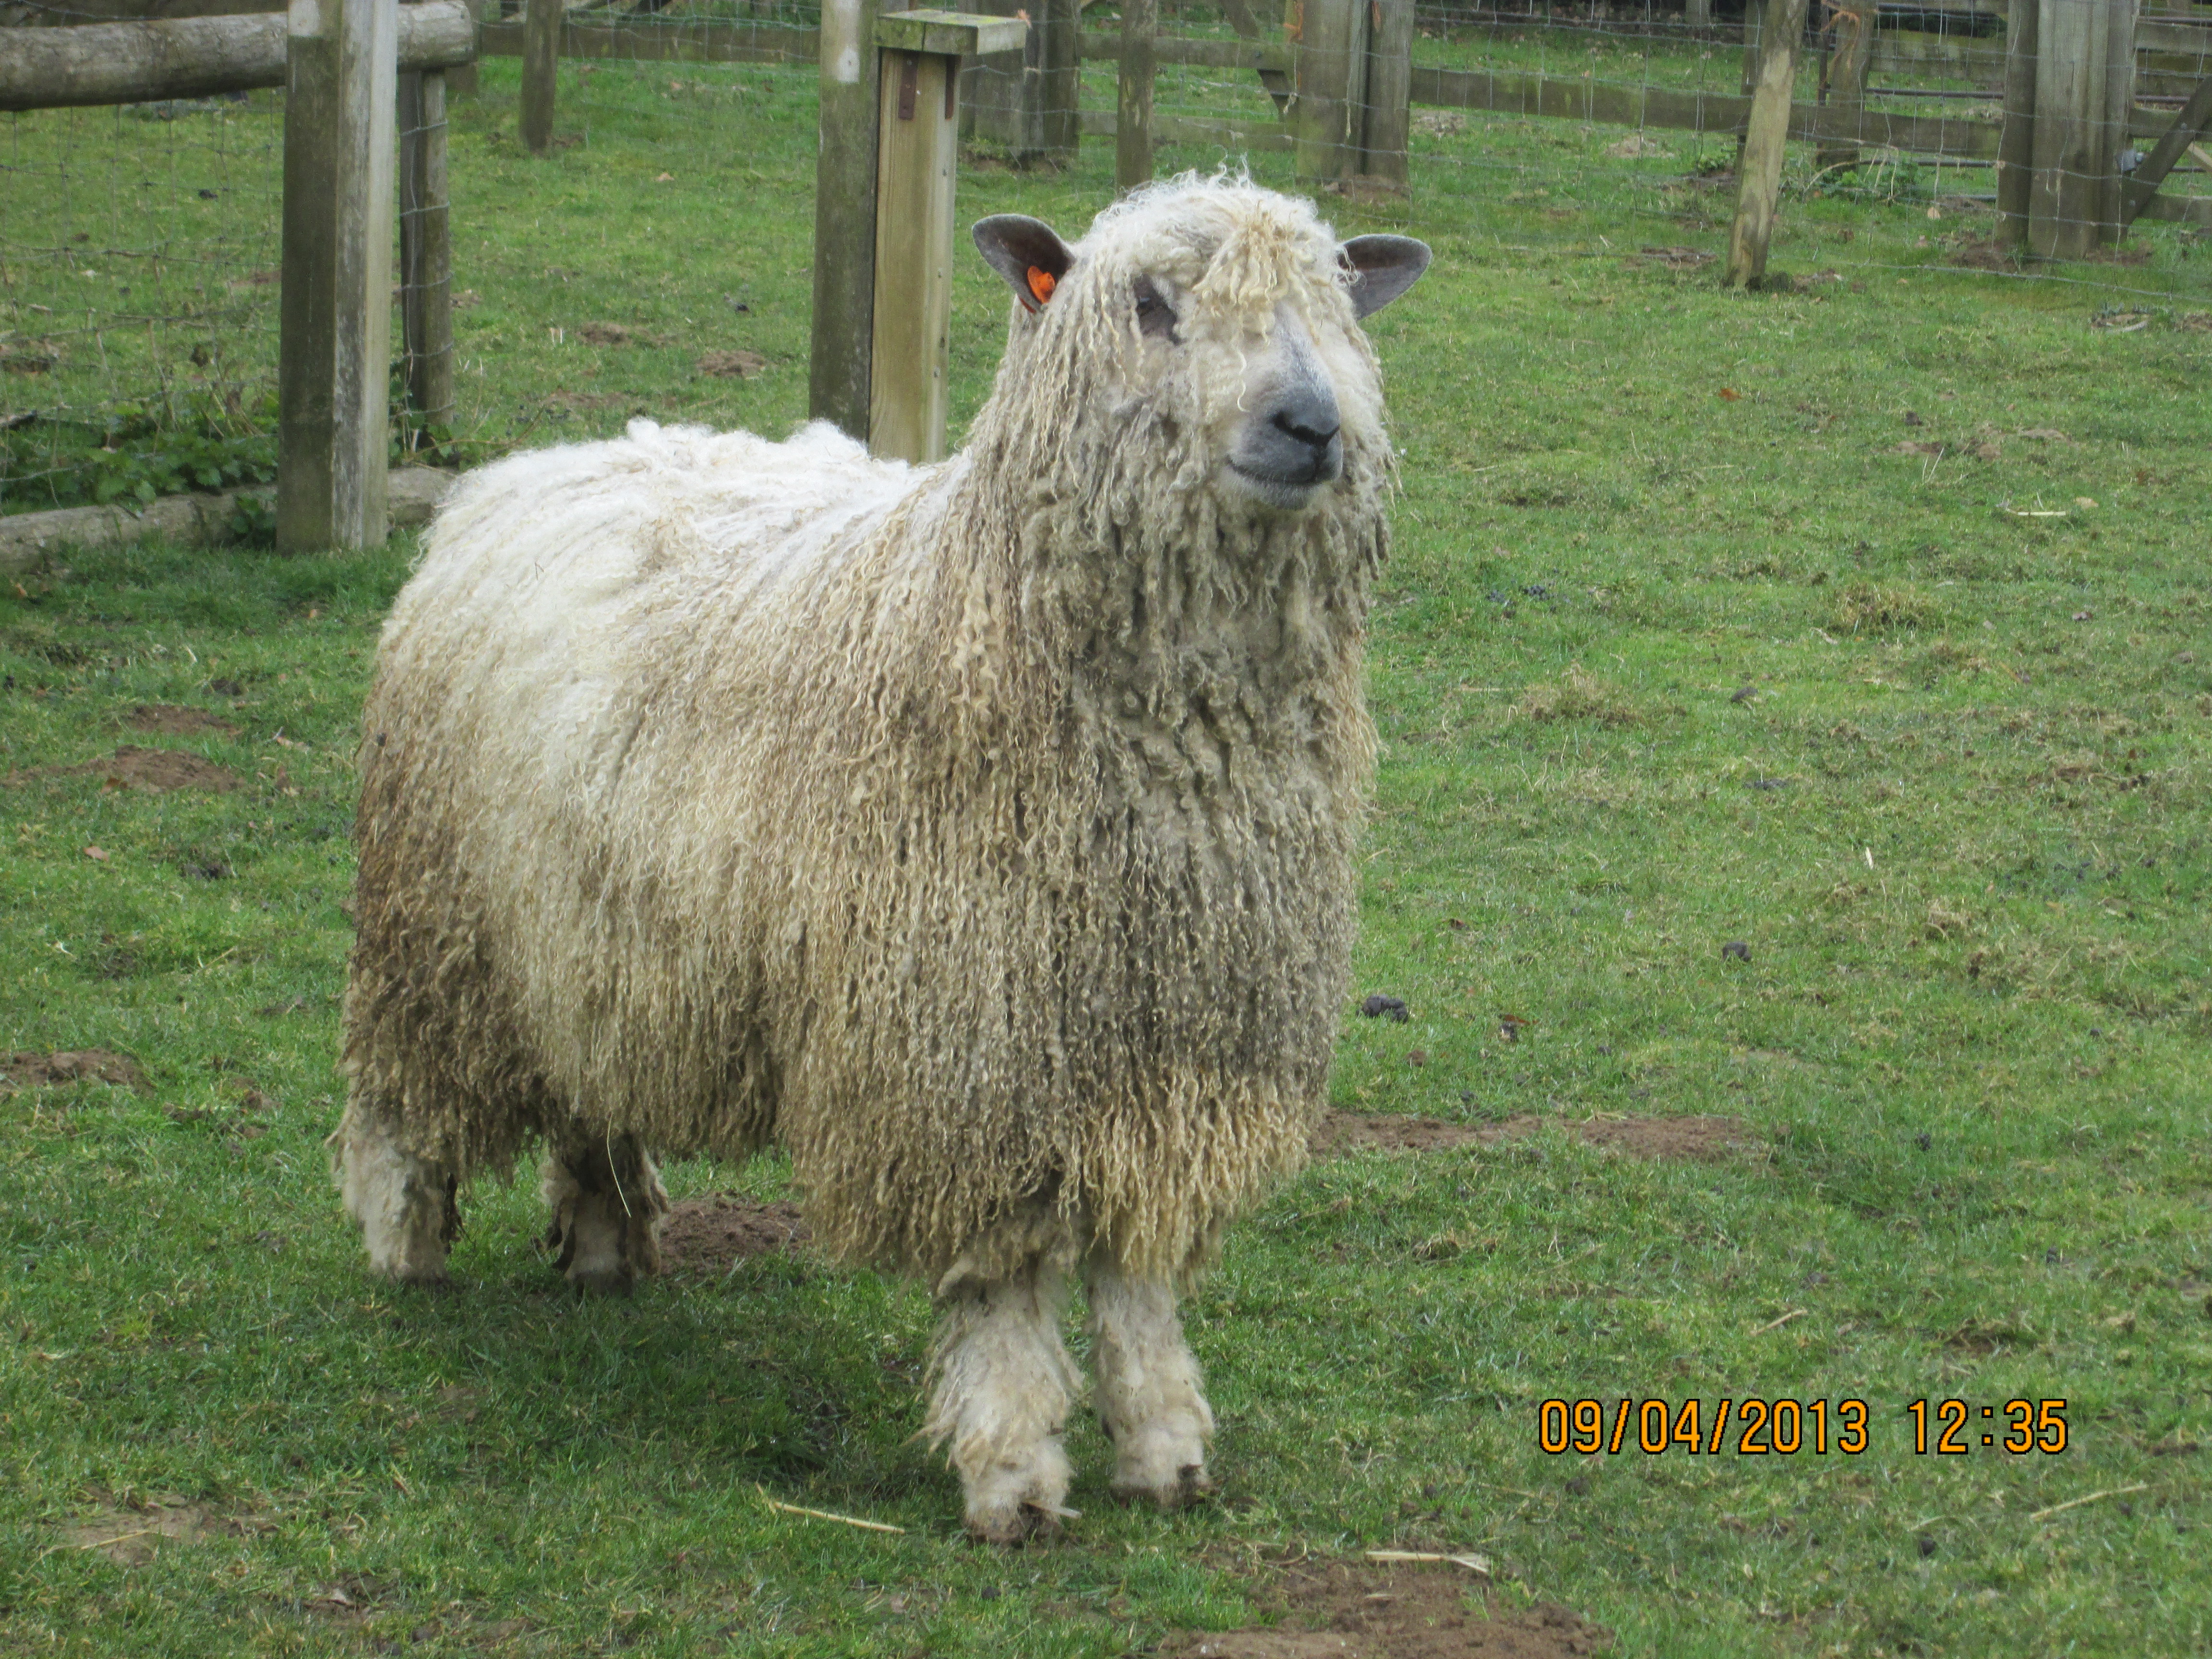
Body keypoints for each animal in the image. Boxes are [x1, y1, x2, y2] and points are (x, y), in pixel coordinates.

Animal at [331, 173, 1429, 1541]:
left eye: (1338, 302)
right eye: (1149, 304)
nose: (1311, 424)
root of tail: (540, 464)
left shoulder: (1167, 1056)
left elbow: (1135, 1274)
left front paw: (1165, 1444)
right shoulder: (966, 1057)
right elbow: (1004, 1282)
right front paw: (1012, 1471)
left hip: (592, 937)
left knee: (591, 1087)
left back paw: (601, 1247)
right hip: (436, 923)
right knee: (404, 1096)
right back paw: (406, 1249)